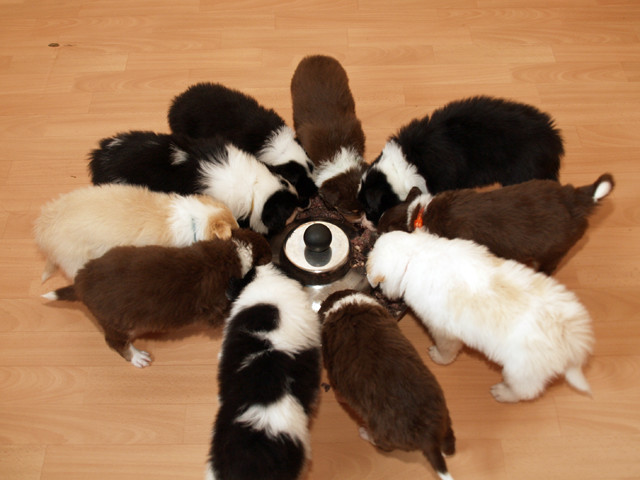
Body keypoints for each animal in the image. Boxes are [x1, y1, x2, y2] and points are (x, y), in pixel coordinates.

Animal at [42, 229, 272, 367]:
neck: (236, 252)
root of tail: (80, 283)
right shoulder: (218, 307)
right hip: (118, 323)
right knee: (115, 342)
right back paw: (137, 357)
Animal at [319, 289, 455, 480]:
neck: (347, 305)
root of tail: (428, 436)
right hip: (443, 413)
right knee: (449, 444)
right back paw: (445, 449)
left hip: (383, 434)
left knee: (382, 444)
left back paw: (364, 433)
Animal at [367, 230, 594, 403]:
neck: (415, 254)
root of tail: (574, 341)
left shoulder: (442, 329)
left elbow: (446, 350)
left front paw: (438, 357)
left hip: (521, 372)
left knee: (526, 392)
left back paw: (503, 393)